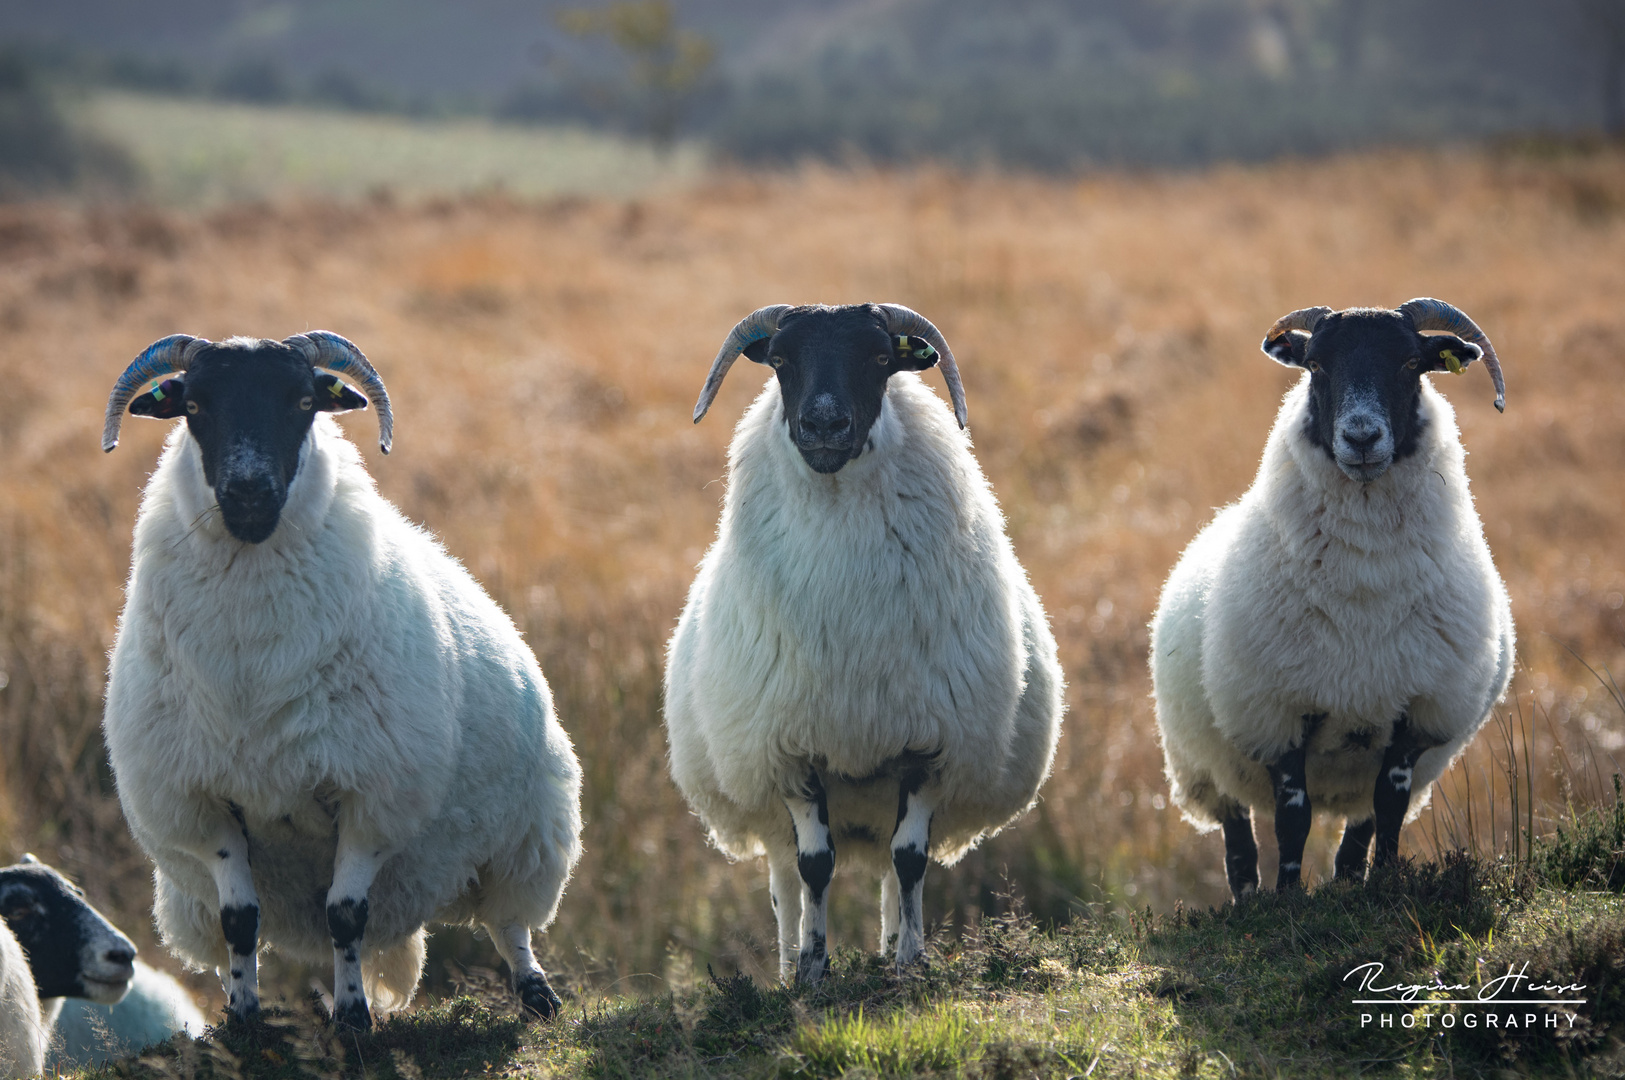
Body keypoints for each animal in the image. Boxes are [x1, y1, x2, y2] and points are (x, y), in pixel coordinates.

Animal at [101, 331, 585, 1026]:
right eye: (194, 406)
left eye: (304, 401)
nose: (249, 493)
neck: (254, 662)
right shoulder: (206, 804)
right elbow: (239, 922)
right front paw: (244, 1018)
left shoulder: (370, 795)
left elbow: (346, 915)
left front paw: (354, 1017)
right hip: (185, 892)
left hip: (527, 836)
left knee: (509, 921)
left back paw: (535, 993)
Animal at [663, 298, 1066, 980]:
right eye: (780, 359)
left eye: (880, 358)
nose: (824, 423)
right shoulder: (791, 750)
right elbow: (814, 866)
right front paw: (812, 970)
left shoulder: (927, 745)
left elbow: (910, 861)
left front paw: (909, 961)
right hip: (767, 800)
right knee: (785, 881)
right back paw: (785, 968)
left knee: (886, 869)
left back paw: (887, 946)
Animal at [1150, 298, 1514, 896]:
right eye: (1316, 365)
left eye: (1411, 363)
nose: (1361, 438)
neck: (1365, 587)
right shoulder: (1277, 717)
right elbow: (1292, 818)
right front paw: (1288, 896)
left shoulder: (1415, 715)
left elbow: (1388, 809)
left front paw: (1386, 881)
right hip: (1206, 767)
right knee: (1238, 843)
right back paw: (1248, 900)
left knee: (1357, 826)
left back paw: (1349, 882)